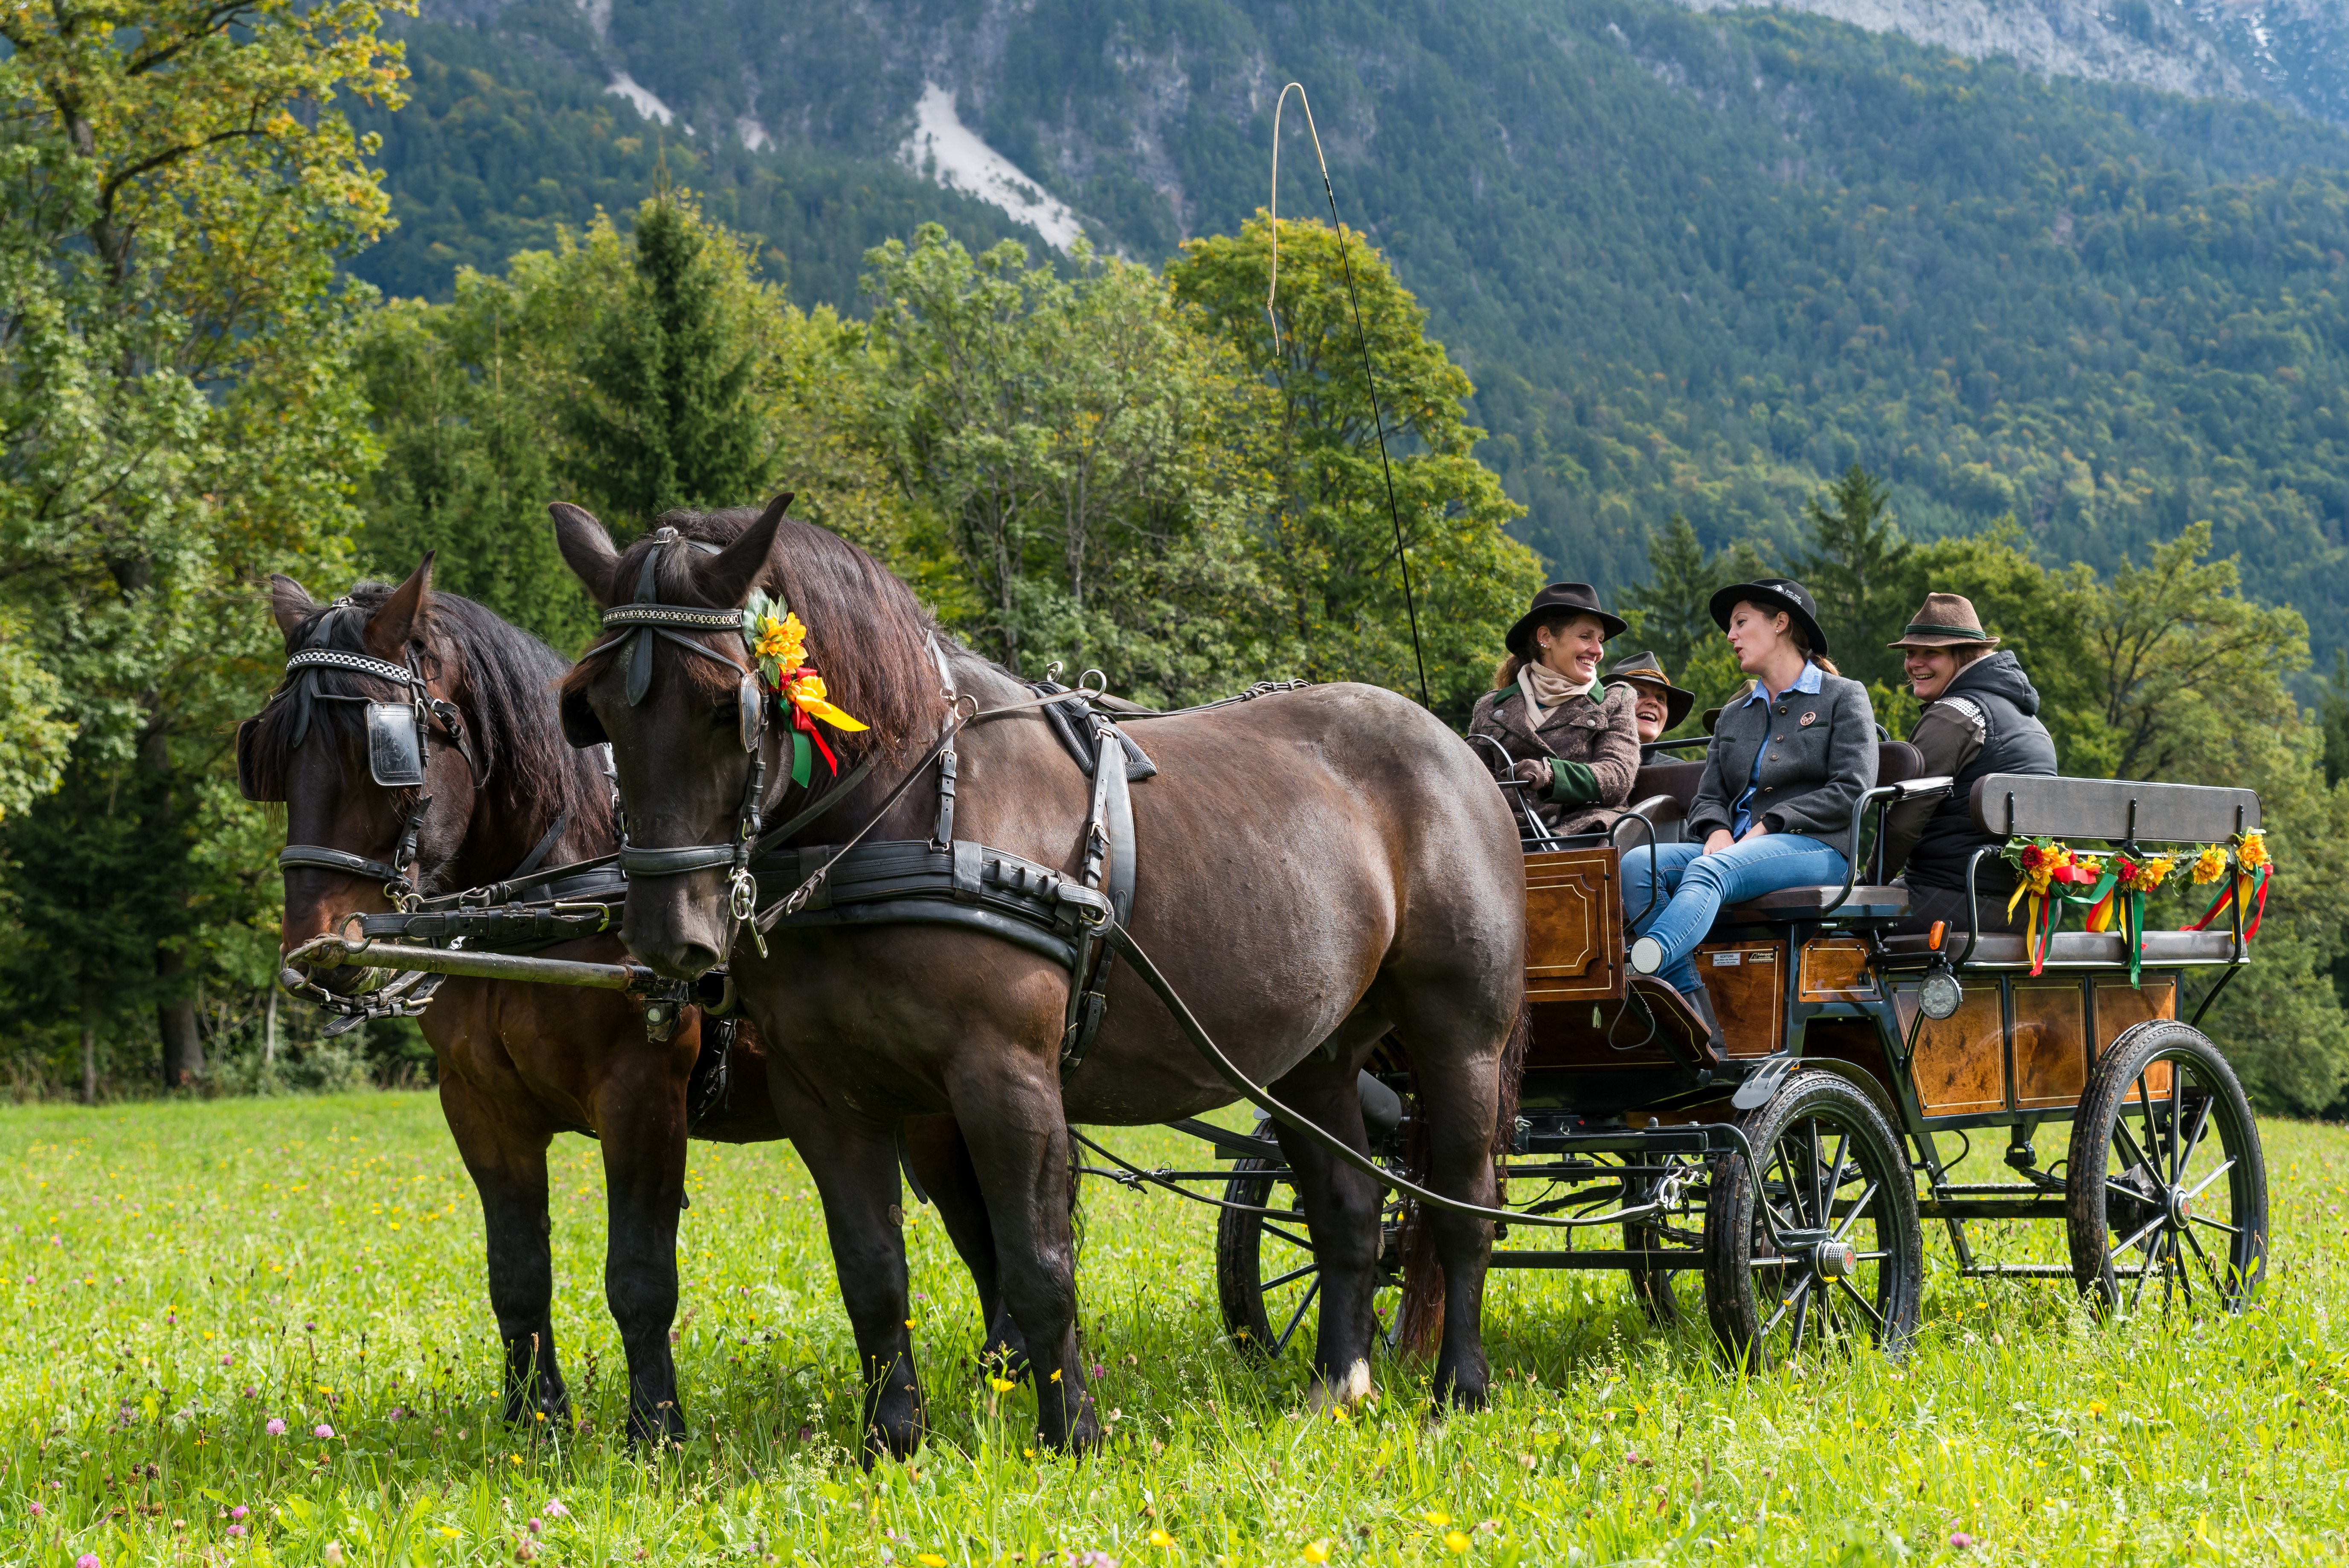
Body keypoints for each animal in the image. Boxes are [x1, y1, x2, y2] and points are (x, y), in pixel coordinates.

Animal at [250, 561, 1019, 1446]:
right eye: (269, 752)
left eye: (381, 752)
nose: (313, 950)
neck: (544, 906)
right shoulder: (480, 1108)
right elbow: (516, 1274)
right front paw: (533, 1422)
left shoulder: (641, 1095)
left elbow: (640, 1275)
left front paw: (655, 1428)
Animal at [545, 500, 1522, 1455]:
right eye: (596, 713)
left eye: (728, 708)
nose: (667, 936)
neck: (908, 808)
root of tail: (1454, 747)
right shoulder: (823, 1095)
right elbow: (871, 1270)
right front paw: (893, 1440)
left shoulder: (1003, 1072)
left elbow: (1038, 1262)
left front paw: (1070, 1434)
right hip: (1313, 1055)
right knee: (1349, 1208)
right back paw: (1334, 1388)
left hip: (1458, 1034)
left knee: (1462, 1206)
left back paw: (1460, 1390)